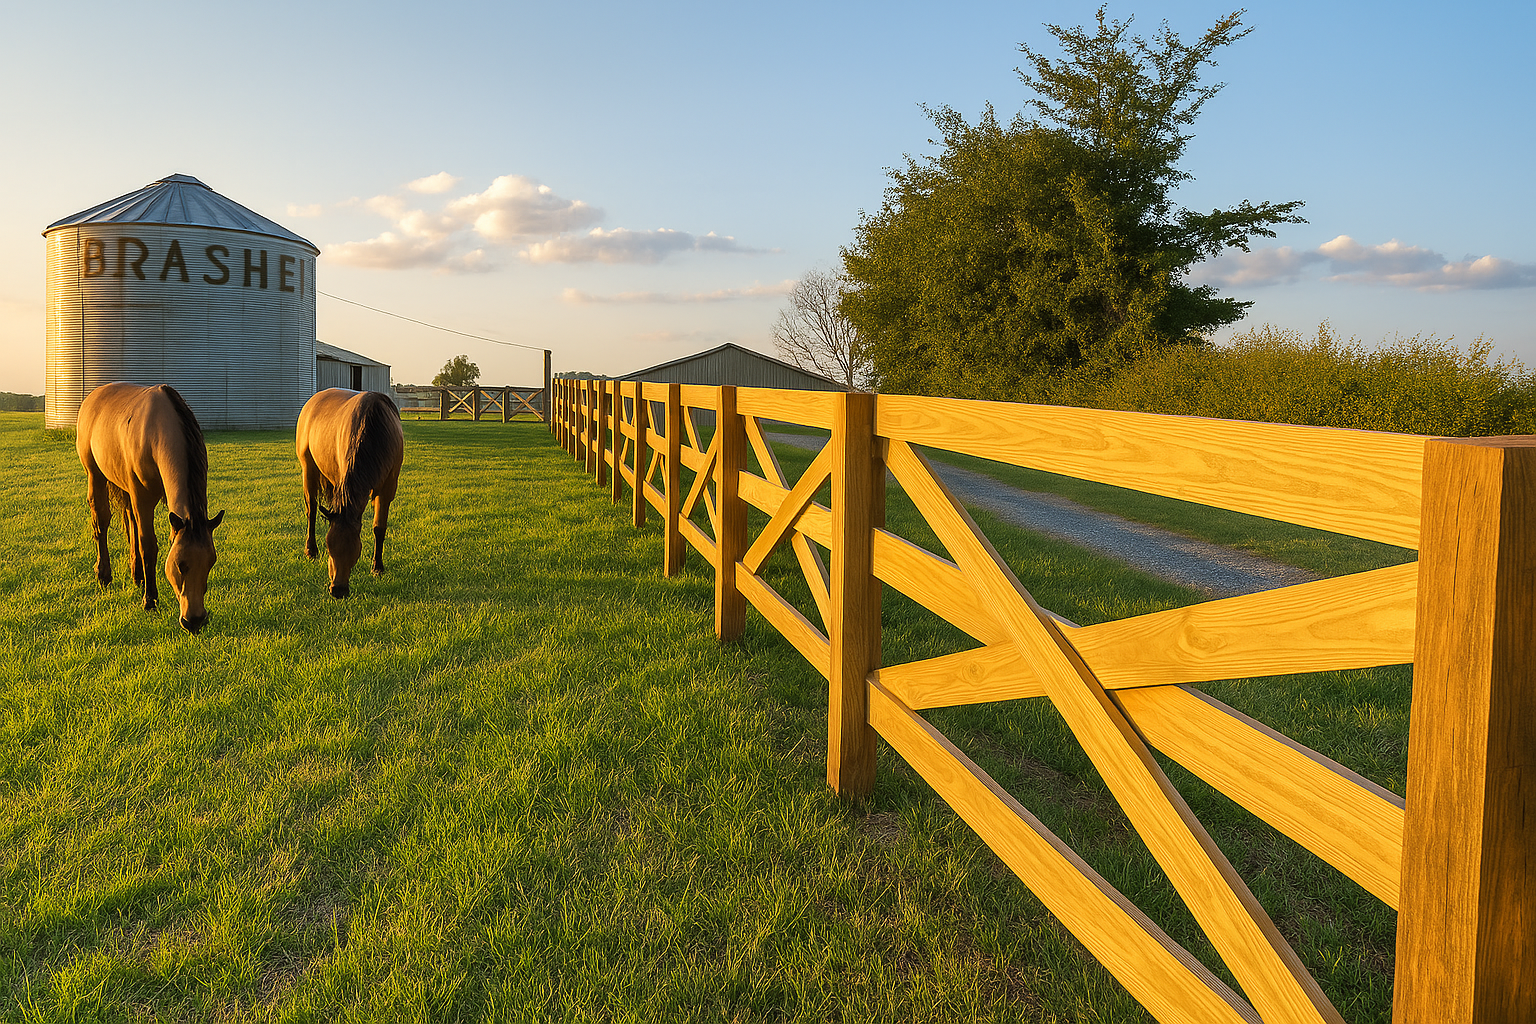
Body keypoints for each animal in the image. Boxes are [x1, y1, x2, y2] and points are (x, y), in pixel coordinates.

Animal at [76, 383, 225, 633]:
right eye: (180, 565)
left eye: (210, 562)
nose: (194, 620)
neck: (157, 430)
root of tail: (93, 395)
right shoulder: (142, 497)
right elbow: (149, 545)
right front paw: (150, 600)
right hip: (95, 475)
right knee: (101, 523)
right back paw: (104, 574)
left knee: (130, 522)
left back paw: (137, 574)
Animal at [295, 388, 404, 599]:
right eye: (329, 547)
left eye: (355, 549)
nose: (338, 590)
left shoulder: (387, 488)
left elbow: (379, 528)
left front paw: (377, 567)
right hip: (308, 468)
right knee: (311, 511)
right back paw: (311, 550)